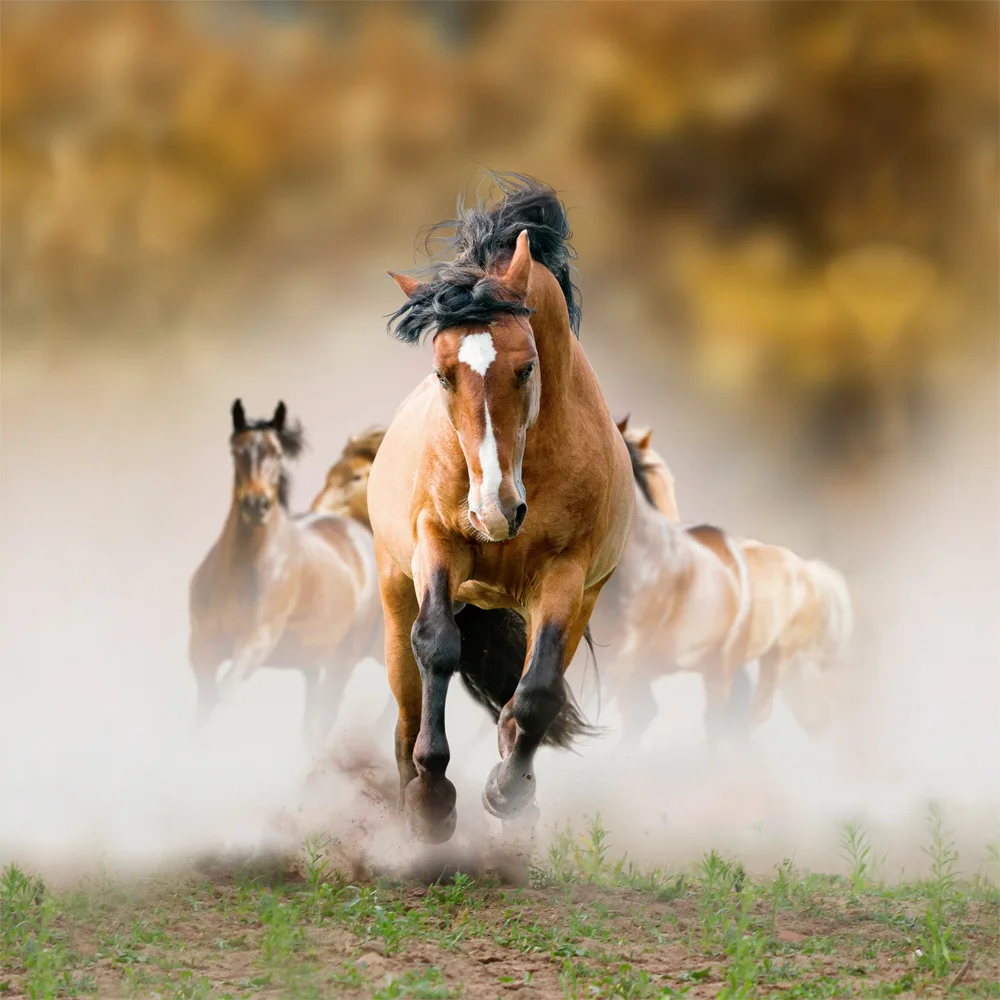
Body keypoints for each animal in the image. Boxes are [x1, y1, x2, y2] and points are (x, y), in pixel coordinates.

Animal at [188, 401, 381, 751]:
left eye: (277, 453)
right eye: (236, 450)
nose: (257, 504)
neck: (240, 573)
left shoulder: (256, 641)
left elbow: (224, 692)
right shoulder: (201, 647)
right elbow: (204, 705)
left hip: (343, 660)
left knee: (325, 719)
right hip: (313, 661)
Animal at [367, 174, 635, 844]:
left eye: (526, 367)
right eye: (442, 374)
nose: (494, 510)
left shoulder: (565, 574)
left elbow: (537, 693)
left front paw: (507, 793)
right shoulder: (436, 544)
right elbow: (438, 645)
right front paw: (434, 800)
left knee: (528, 695)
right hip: (395, 591)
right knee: (407, 707)